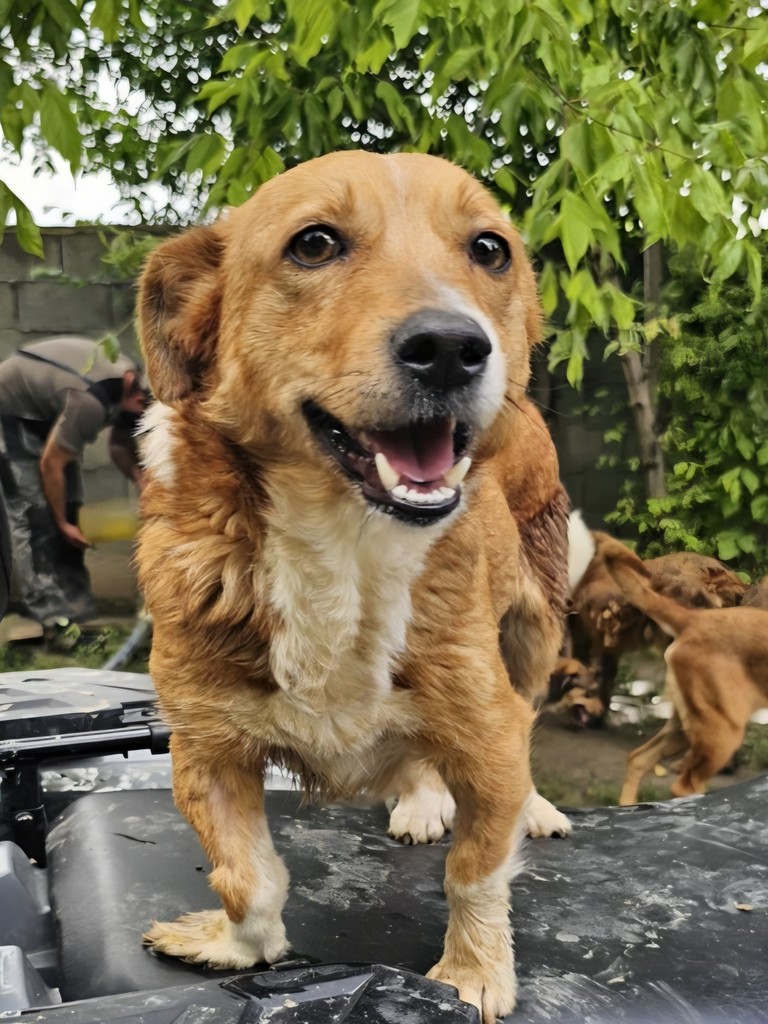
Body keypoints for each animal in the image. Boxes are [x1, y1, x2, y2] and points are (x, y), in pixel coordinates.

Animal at [136, 150, 571, 1022]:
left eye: (490, 249)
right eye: (314, 244)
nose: (453, 347)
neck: (348, 544)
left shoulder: (489, 730)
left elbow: (475, 872)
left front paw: (474, 972)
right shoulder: (202, 749)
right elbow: (248, 877)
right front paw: (239, 946)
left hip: (536, 629)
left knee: (530, 716)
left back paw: (521, 805)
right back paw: (421, 797)